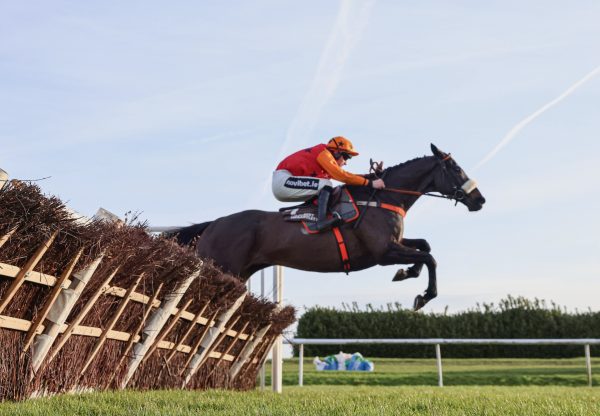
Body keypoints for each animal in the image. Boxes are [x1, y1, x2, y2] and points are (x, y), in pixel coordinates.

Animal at [176, 145, 486, 310]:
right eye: (456, 169)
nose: (479, 200)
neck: (384, 197)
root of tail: (214, 224)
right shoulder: (382, 253)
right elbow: (430, 257)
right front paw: (424, 296)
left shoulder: (394, 244)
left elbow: (425, 246)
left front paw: (406, 273)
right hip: (221, 267)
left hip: (239, 273)